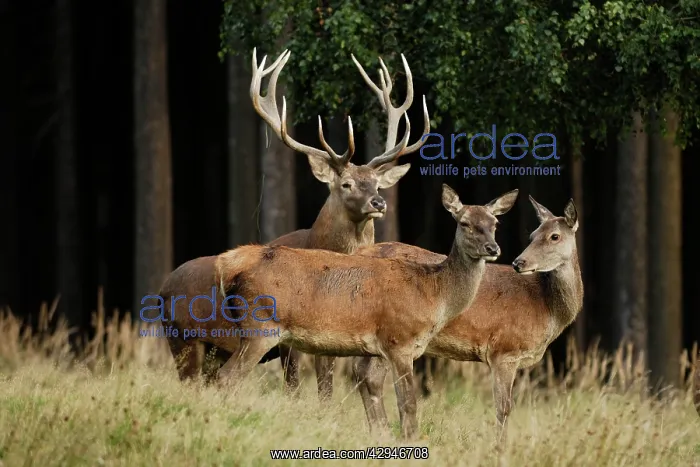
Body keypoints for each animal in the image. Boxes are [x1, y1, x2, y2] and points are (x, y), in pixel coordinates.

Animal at [156, 47, 430, 390]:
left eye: (377, 184)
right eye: (346, 184)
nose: (378, 202)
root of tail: (162, 290)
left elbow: (327, 386)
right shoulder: (291, 340)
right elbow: (296, 386)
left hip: (210, 350)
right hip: (184, 339)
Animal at [210, 184, 518, 439]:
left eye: (494, 223)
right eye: (465, 223)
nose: (493, 248)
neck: (434, 295)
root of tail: (227, 263)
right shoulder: (399, 341)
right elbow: (408, 404)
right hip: (260, 327)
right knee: (226, 377)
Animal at [350, 195, 583, 443]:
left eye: (554, 236)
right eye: (533, 235)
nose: (519, 262)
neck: (545, 308)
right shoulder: (505, 349)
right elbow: (504, 408)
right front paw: (500, 446)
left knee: (361, 371)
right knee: (371, 376)